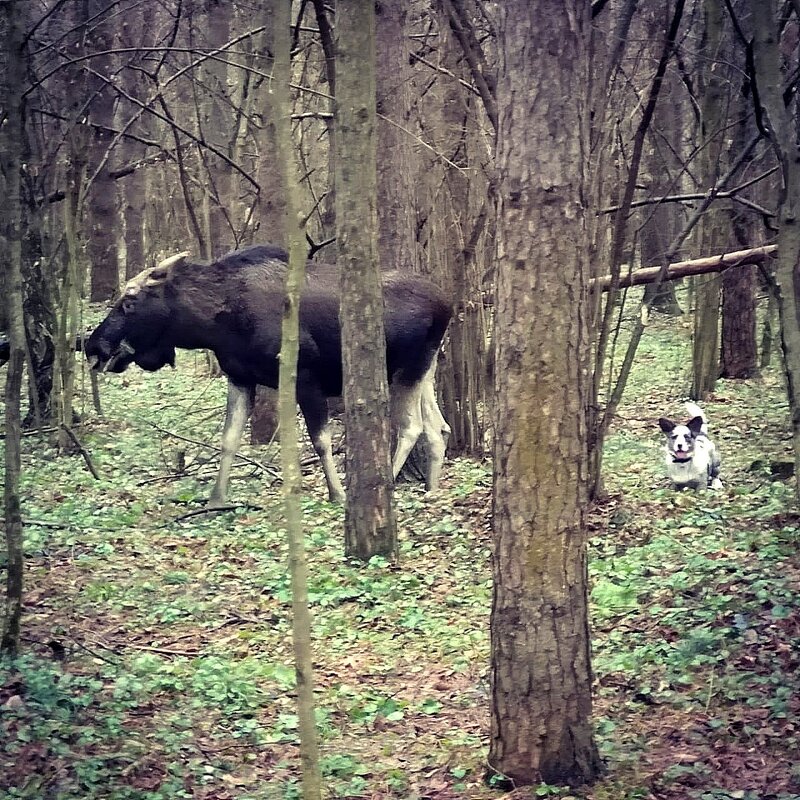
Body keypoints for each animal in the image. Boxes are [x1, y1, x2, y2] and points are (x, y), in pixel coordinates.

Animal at [86, 245, 456, 506]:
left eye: (129, 301)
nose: (93, 345)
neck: (216, 326)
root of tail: (448, 303)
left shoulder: (305, 376)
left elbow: (320, 440)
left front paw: (337, 494)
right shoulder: (240, 378)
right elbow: (229, 439)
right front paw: (217, 498)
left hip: (408, 368)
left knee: (412, 426)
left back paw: (389, 485)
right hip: (426, 368)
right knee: (438, 427)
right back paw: (431, 488)